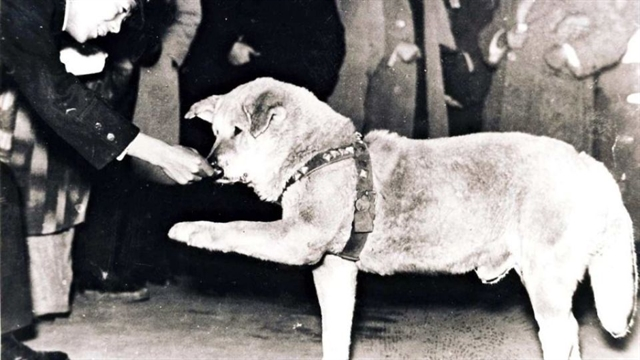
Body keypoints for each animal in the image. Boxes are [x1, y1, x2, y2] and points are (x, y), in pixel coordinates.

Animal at [168, 77, 636, 358]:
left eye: (238, 132)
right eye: (215, 133)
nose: (212, 166)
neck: (319, 153)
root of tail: (590, 166)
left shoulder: (297, 239)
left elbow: (235, 229)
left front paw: (191, 229)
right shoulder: (333, 268)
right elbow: (336, 333)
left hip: (545, 280)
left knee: (563, 334)